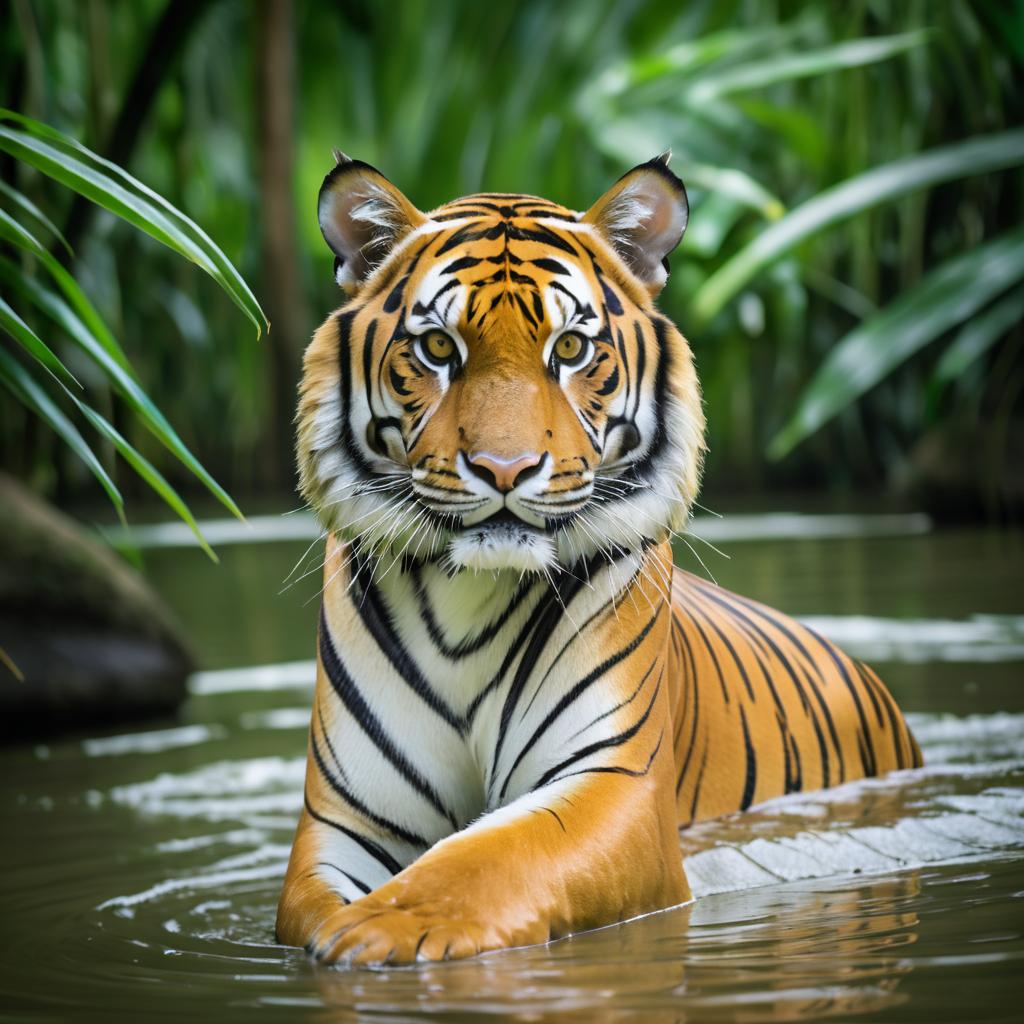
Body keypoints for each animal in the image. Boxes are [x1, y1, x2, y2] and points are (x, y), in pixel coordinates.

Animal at [274, 148, 921, 962]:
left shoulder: (616, 782)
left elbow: (492, 855)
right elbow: (313, 904)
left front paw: (386, 926)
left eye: (572, 349)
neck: (466, 599)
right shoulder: (345, 822)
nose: (506, 469)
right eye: (438, 348)